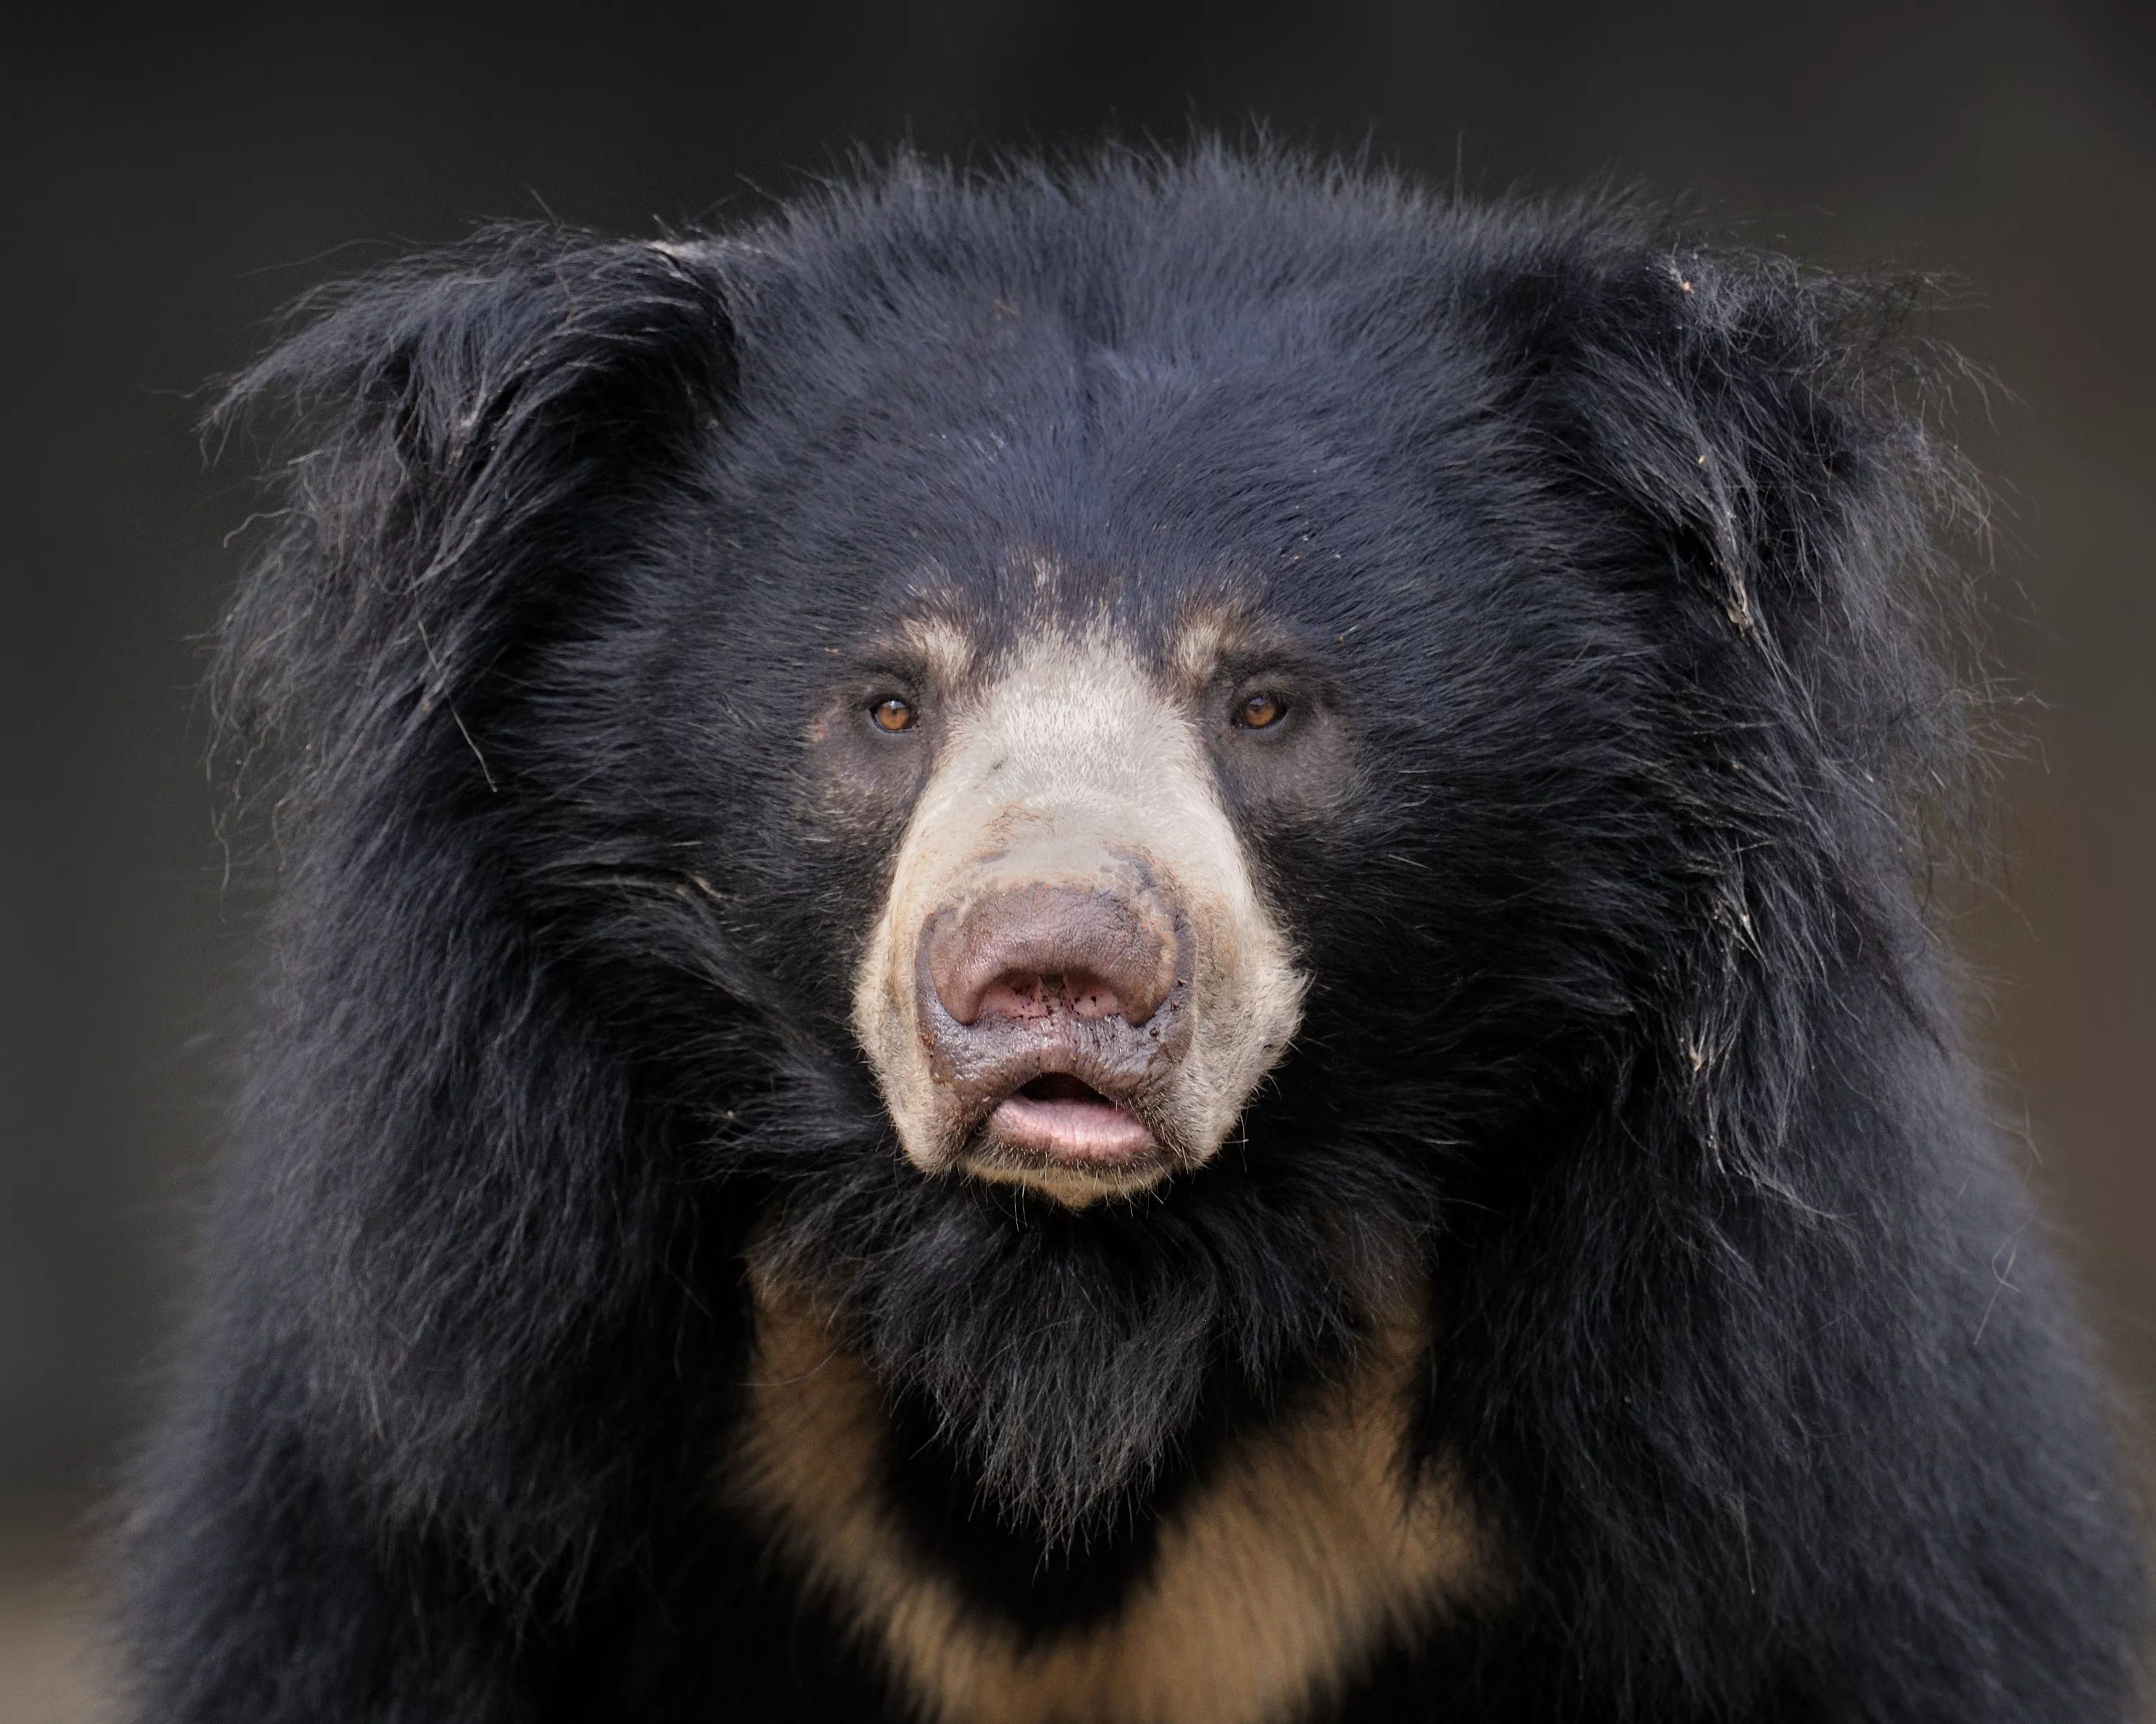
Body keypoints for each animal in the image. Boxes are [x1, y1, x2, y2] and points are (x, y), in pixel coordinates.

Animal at [111, 145, 2145, 1723]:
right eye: (885, 703)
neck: (1085, 1316)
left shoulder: (1765, 1446)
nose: (1053, 971)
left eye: (1266, 703)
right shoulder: (461, 1449)